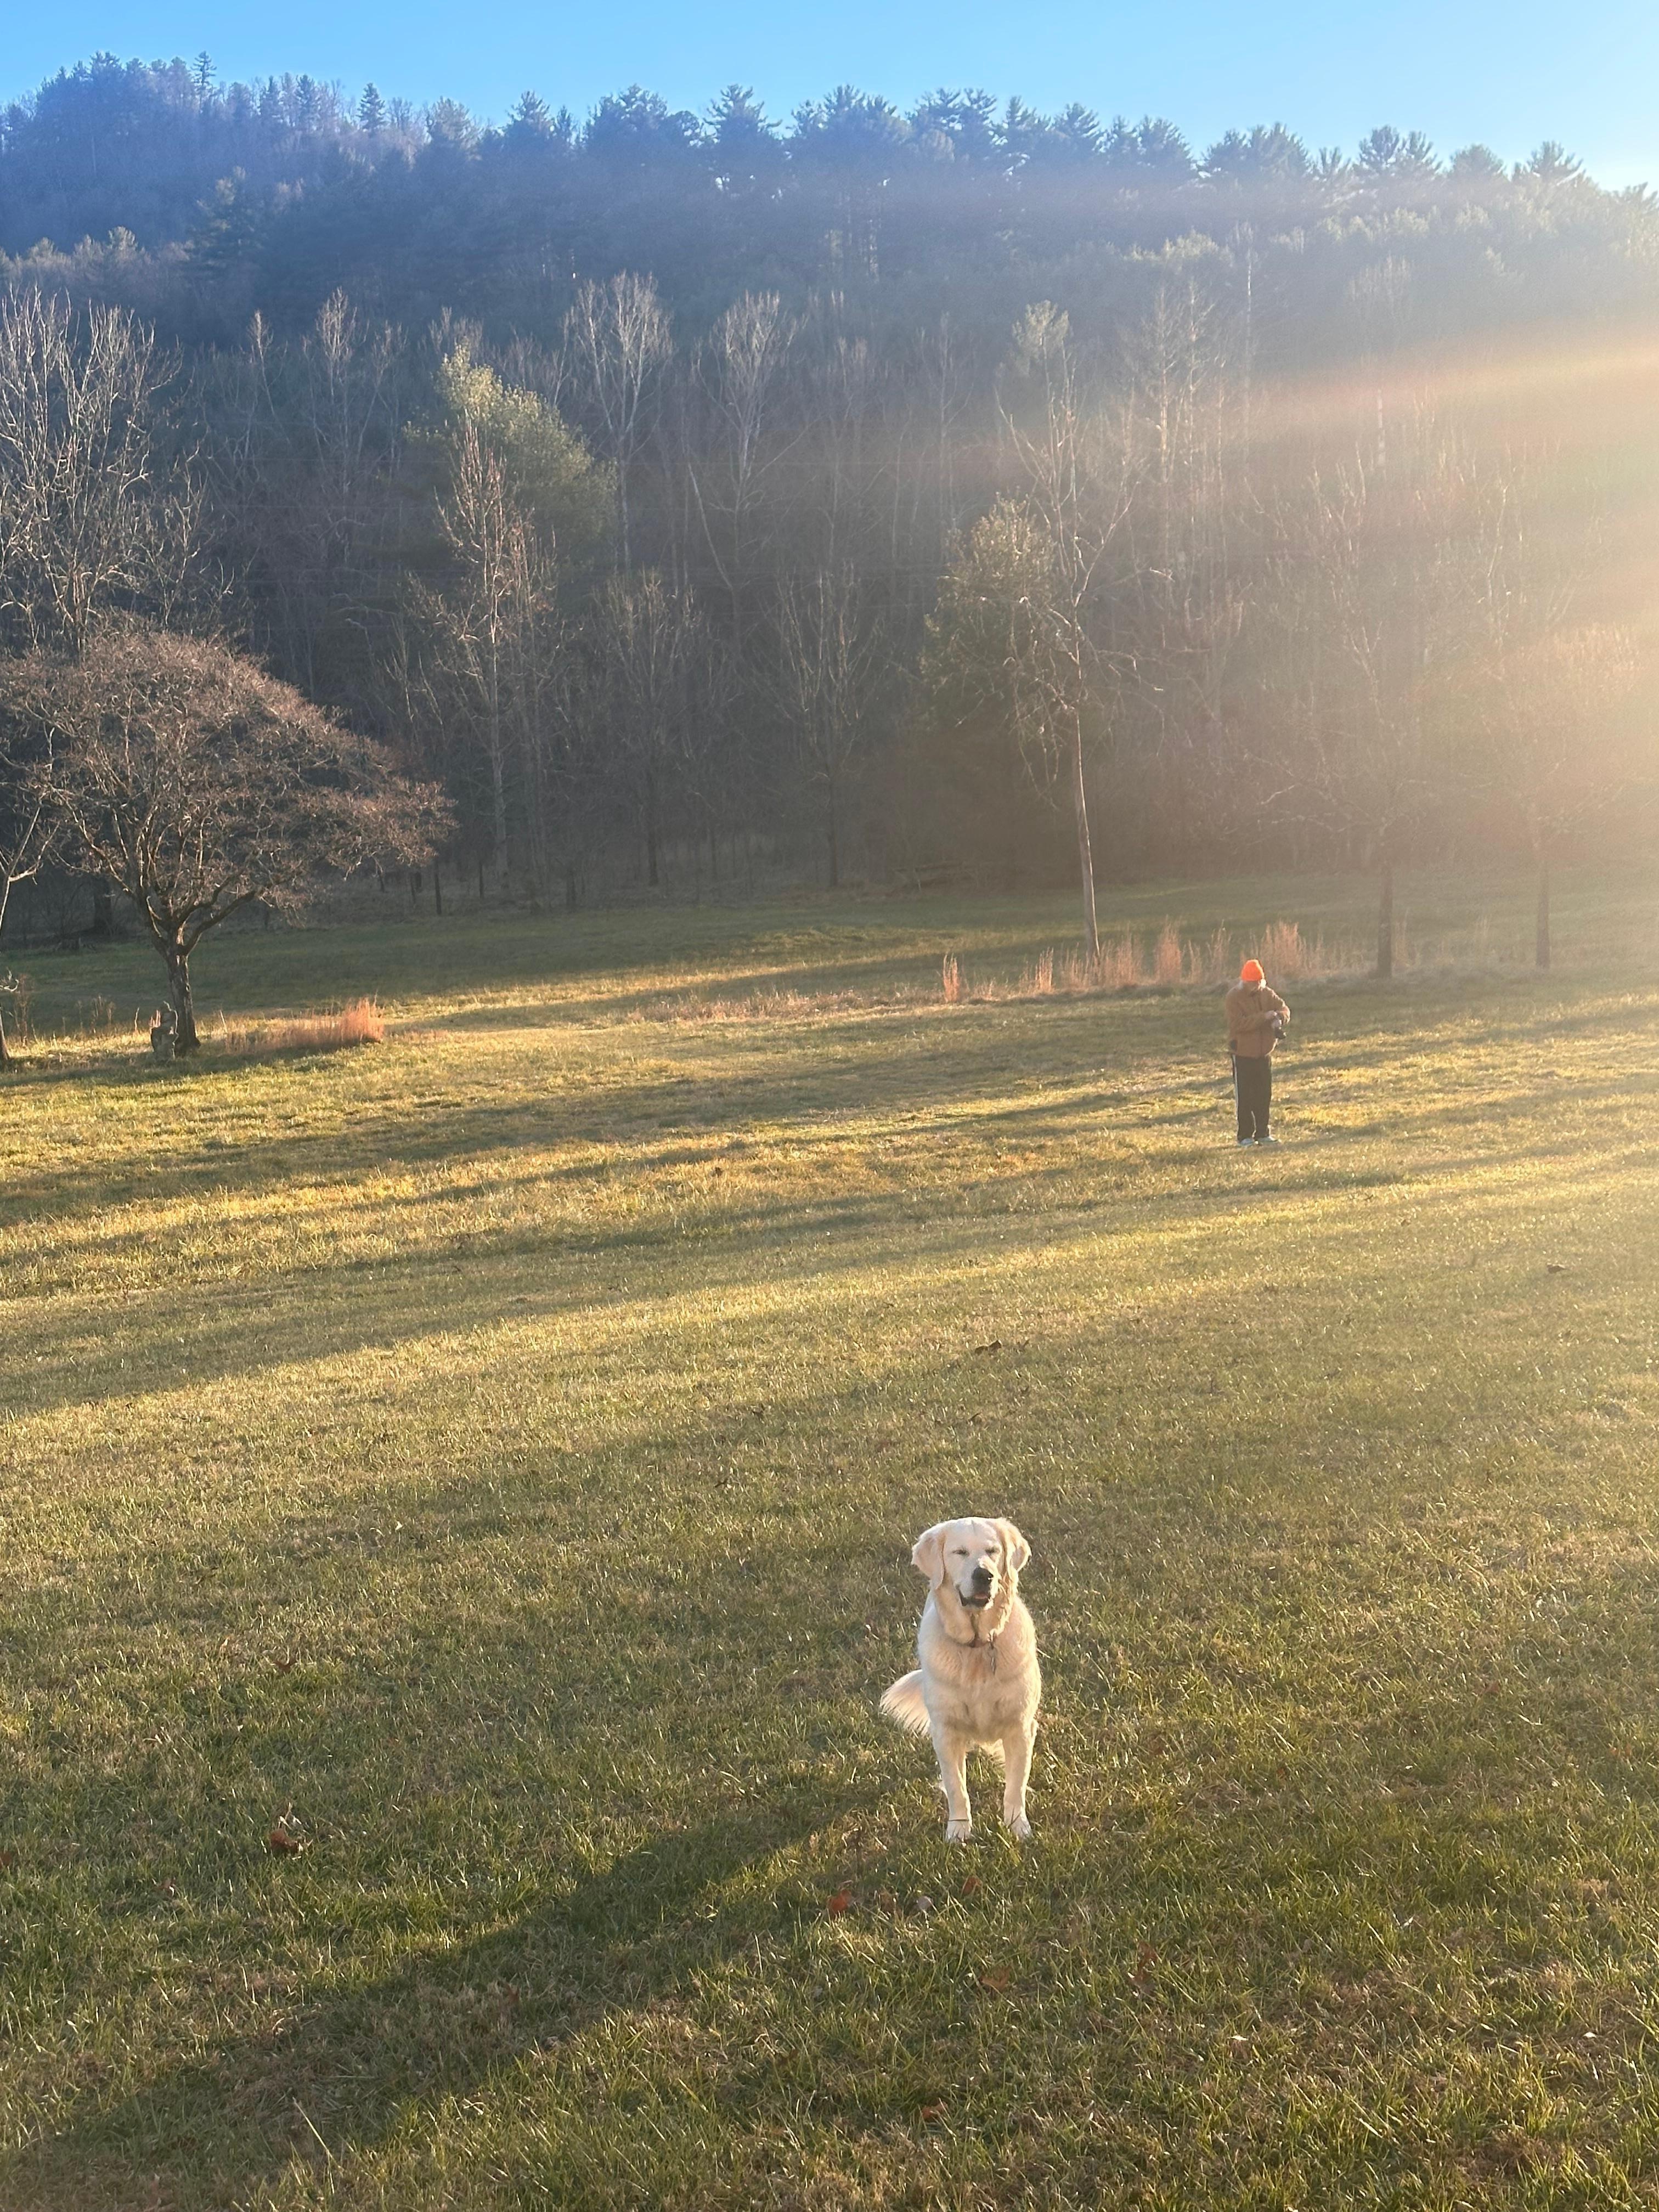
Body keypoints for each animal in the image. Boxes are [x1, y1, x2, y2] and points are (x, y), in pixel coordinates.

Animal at [881, 1516, 1041, 1843]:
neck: (978, 1647)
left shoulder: (1020, 1726)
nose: (984, 1575)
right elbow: (957, 1787)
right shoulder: (946, 1731)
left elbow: (1015, 1785)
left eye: (993, 1551)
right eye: (960, 1552)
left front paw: (1017, 1827)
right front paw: (958, 1831)